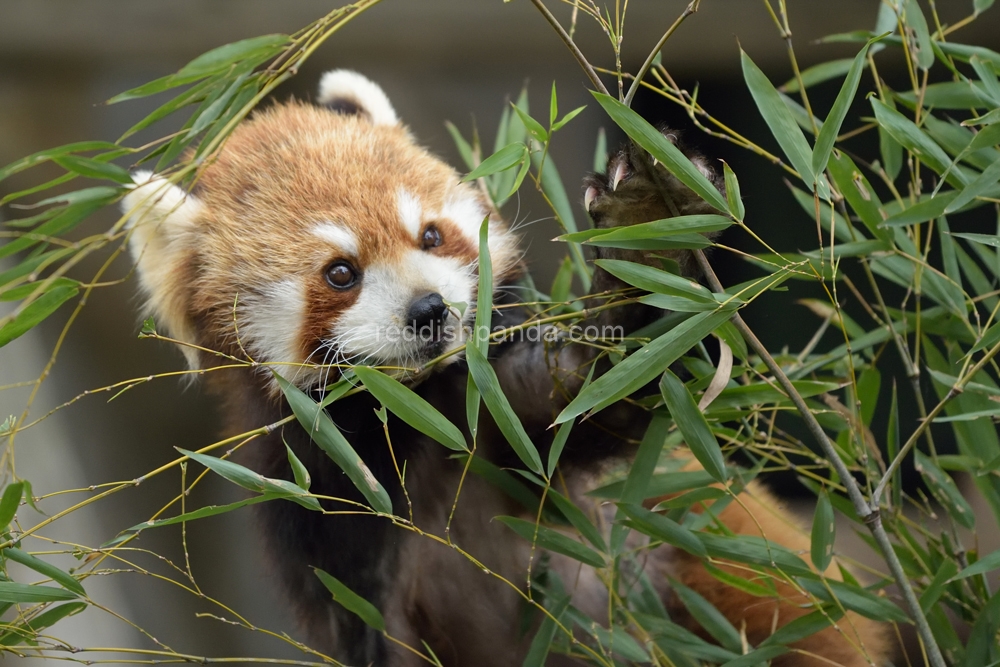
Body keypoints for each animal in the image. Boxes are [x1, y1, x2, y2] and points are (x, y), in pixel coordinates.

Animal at [121, 70, 888, 664]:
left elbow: (602, 384)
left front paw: (648, 234)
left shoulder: (510, 430)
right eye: (340, 272)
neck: (412, 425)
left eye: (431, 235)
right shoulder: (329, 525)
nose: (429, 309)